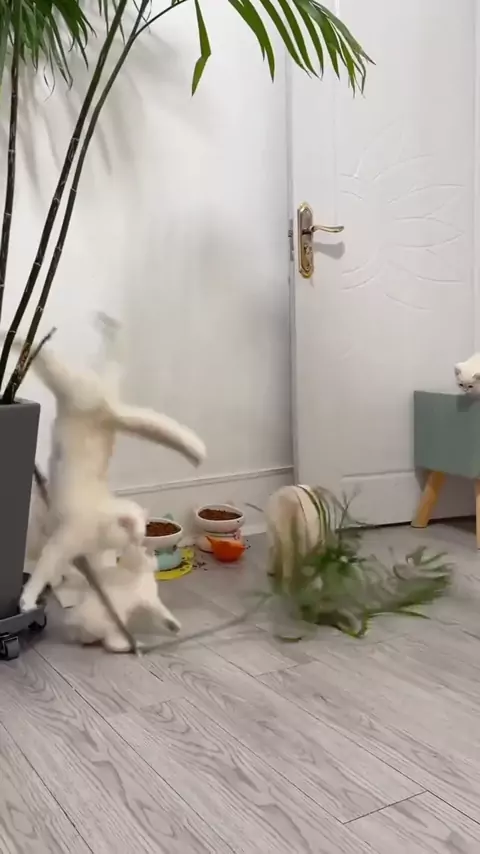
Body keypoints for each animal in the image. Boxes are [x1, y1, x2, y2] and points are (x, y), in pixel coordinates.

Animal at [4, 315, 206, 612]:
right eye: (136, 533)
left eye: (145, 533)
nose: (140, 542)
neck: (101, 522)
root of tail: (109, 411)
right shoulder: (63, 540)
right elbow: (44, 568)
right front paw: (29, 599)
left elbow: (72, 568)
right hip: (73, 385)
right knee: (53, 360)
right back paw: (17, 339)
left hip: (91, 388)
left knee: (110, 363)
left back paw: (108, 325)